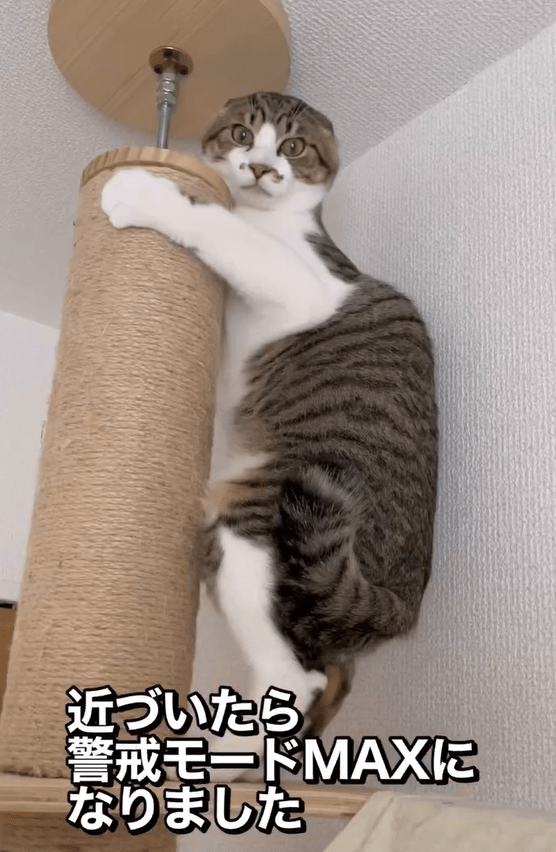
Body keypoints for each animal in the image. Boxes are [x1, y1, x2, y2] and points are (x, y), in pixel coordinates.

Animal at [101, 91, 438, 782]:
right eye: (240, 135)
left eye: (293, 146)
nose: (260, 168)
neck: (268, 219)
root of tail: (402, 598)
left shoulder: (301, 282)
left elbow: (220, 229)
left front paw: (141, 191)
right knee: (327, 671)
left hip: (260, 519)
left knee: (297, 676)